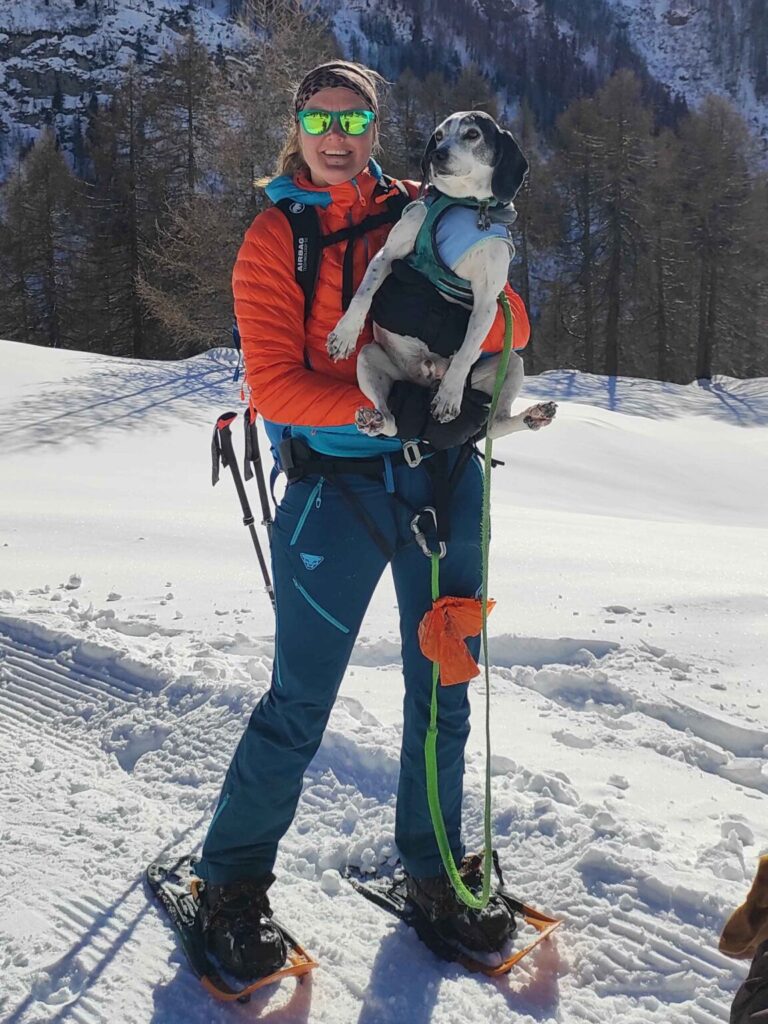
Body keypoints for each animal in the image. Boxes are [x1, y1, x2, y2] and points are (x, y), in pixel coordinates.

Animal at [326, 110, 556, 440]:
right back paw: (374, 421)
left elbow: (467, 349)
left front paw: (449, 397)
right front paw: (344, 334)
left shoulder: (488, 301)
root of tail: (427, 375)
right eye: (438, 135)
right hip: (369, 357)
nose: (438, 153)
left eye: (472, 134)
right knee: (392, 422)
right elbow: (363, 294)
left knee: (494, 425)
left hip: (511, 363)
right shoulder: (387, 255)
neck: (464, 204)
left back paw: (533, 415)